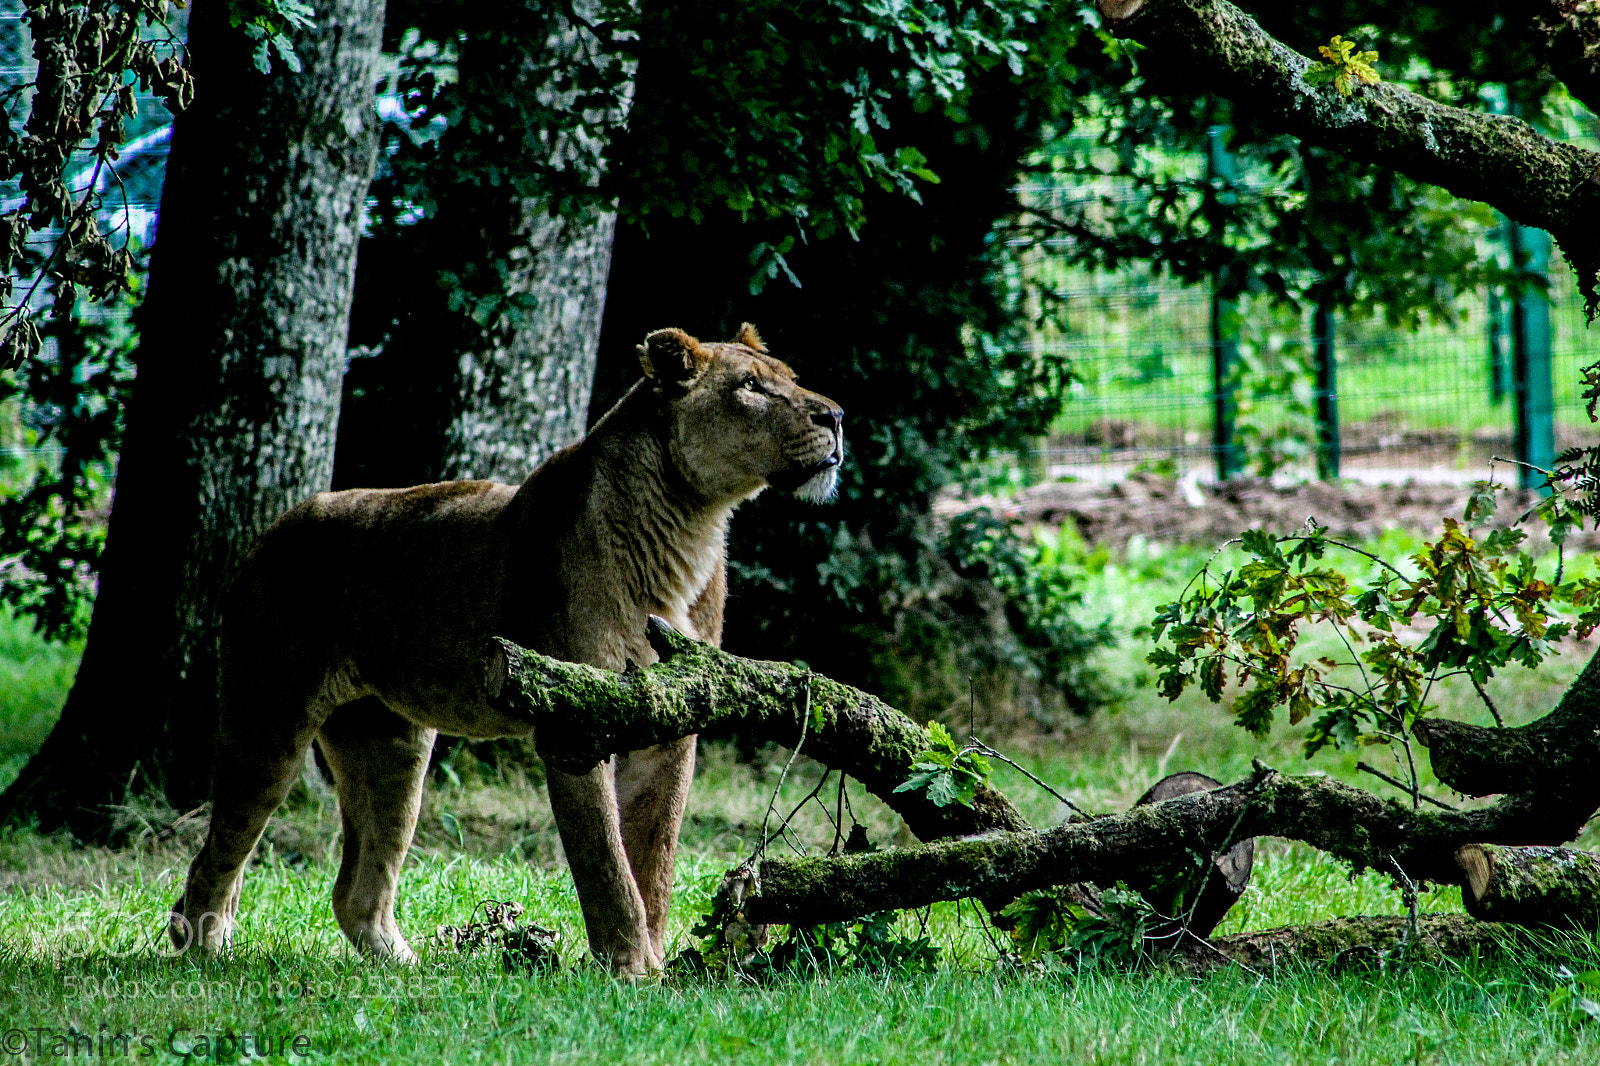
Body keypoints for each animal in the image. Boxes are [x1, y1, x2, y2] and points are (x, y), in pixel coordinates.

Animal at [168, 324, 844, 974]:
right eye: (750, 385)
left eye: (790, 377)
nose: (837, 415)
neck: (688, 528)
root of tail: (271, 530)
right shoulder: (575, 722)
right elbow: (608, 866)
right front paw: (631, 971)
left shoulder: (672, 725)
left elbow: (653, 863)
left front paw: (660, 970)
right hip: (269, 717)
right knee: (217, 858)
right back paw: (205, 953)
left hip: (390, 748)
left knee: (356, 890)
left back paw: (408, 970)